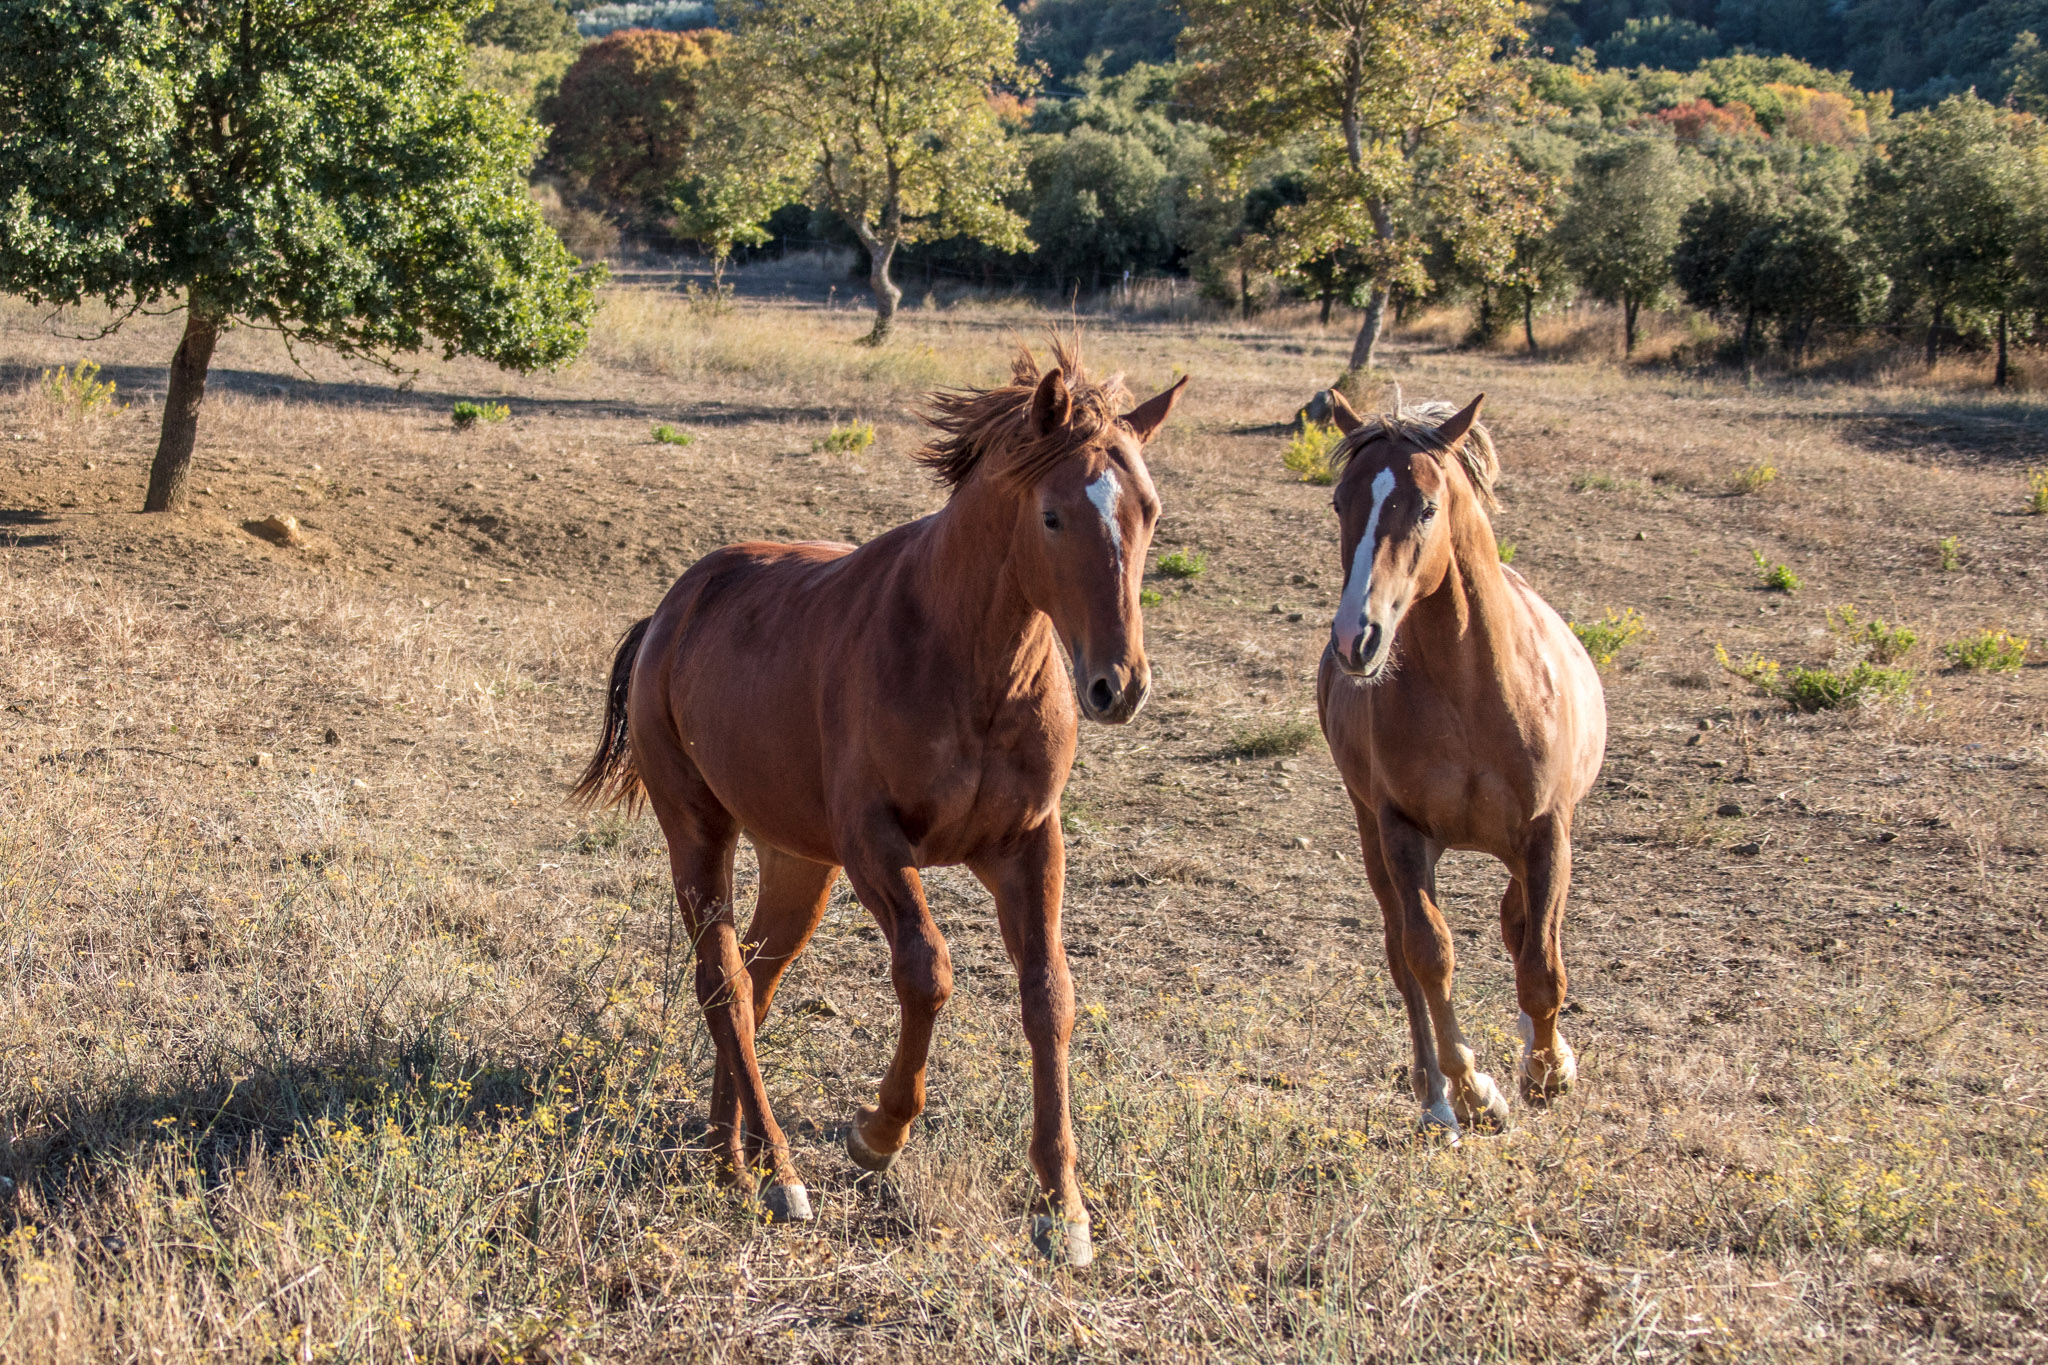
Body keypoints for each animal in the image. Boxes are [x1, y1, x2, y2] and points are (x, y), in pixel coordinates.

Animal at [574, 341, 1185, 1265]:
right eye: (1052, 516)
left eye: (1147, 510)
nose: (1119, 684)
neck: (969, 662)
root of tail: (669, 613)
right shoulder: (875, 845)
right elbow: (927, 972)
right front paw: (878, 1131)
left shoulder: (1028, 845)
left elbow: (1050, 996)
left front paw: (1063, 1205)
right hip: (700, 832)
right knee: (722, 979)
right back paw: (778, 1172)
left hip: (798, 862)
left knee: (755, 981)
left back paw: (729, 1153)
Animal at [1314, 390, 1606, 1141]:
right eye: (1340, 502)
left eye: (1424, 507)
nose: (1356, 638)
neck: (1470, 693)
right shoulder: (1400, 830)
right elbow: (1430, 956)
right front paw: (1476, 1092)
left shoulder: (1547, 831)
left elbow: (1540, 963)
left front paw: (1549, 1068)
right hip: (1373, 836)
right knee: (1401, 954)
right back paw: (1435, 1098)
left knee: (1519, 925)